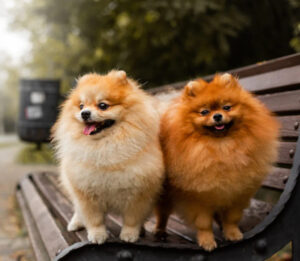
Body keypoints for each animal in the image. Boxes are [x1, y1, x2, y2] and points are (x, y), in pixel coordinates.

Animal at [51, 70, 164, 243]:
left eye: (102, 105)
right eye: (81, 106)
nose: (84, 113)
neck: (105, 146)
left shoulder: (139, 194)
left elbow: (132, 219)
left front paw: (130, 234)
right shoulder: (85, 192)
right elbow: (94, 219)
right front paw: (97, 235)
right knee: (77, 209)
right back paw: (75, 223)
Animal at [156, 72, 280, 250]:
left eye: (226, 107)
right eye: (204, 111)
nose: (217, 116)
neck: (221, 147)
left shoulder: (236, 192)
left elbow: (231, 218)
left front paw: (233, 234)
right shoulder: (198, 197)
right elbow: (204, 223)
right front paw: (207, 241)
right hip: (165, 194)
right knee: (163, 213)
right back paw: (160, 232)